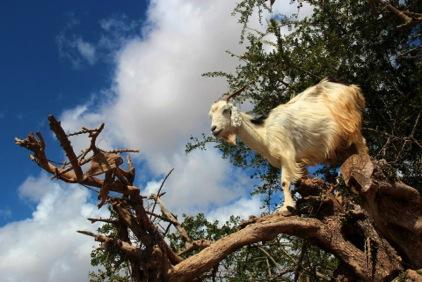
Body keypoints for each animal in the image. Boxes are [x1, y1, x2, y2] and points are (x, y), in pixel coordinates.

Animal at [209, 78, 368, 213]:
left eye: (226, 110)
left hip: (351, 125)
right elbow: (300, 180)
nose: (214, 129)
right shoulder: (298, 161)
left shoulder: (286, 154)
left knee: (362, 145)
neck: (264, 132)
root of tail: (351, 88)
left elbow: (284, 182)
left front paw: (286, 207)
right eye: (210, 115)